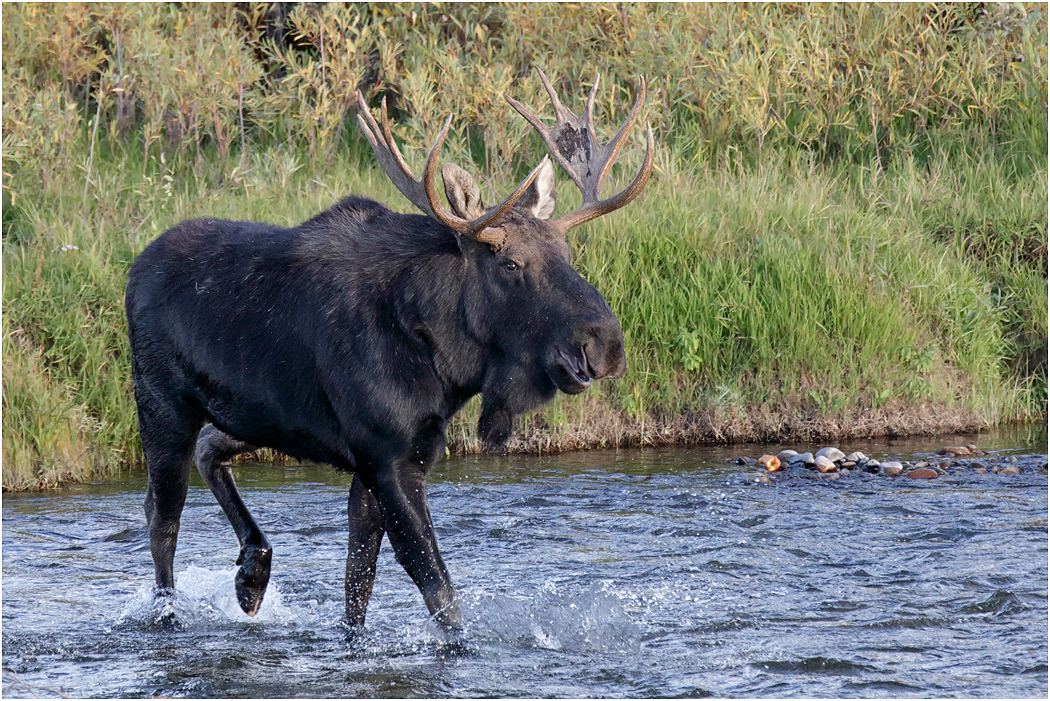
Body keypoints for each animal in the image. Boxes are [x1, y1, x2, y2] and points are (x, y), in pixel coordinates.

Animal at [125, 69, 653, 629]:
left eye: (567, 254)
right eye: (510, 264)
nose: (605, 342)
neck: (446, 365)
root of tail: (133, 270)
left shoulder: (391, 457)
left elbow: (357, 590)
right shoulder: (388, 459)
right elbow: (440, 593)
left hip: (260, 418)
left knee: (209, 450)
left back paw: (252, 571)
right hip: (162, 407)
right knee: (161, 517)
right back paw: (170, 610)